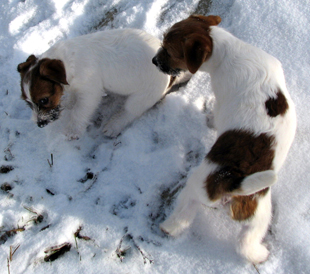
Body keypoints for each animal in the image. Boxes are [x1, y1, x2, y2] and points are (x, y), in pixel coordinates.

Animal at [19, 28, 190, 139]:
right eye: (27, 103)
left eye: (44, 100)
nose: (40, 124)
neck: (66, 63)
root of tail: (172, 75)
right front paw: (68, 103)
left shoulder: (90, 92)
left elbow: (78, 111)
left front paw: (73, 130)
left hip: (143, 97)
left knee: (130, 112)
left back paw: (113, 126)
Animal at [153, 15, 298, 264]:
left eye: (169, 51)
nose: (154, 61)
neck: (226, 50)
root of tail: (230, 180)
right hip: (257, 212)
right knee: (244, 243)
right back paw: (261, 255)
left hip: (196, 190)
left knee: (182, 216)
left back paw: (166, 227)